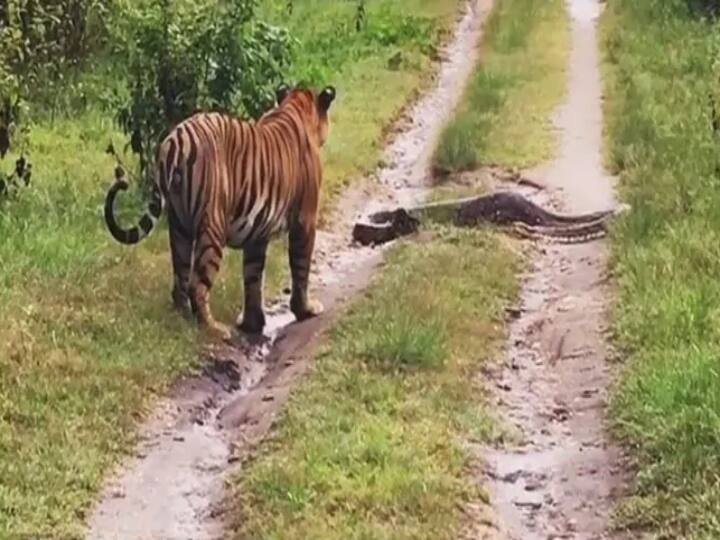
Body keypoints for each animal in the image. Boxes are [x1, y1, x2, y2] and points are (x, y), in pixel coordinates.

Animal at [104, 84, 336, 340]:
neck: (295, 107)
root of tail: (175, 141)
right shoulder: (305, 220)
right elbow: (300, 268)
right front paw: (305, 310)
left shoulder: (258, 232)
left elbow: (253, 276)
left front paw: (252, 323)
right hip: (212, 226)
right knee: (197, 284)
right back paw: (213, 328)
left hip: (179, 226)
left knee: (180, 279)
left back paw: (182, 319)